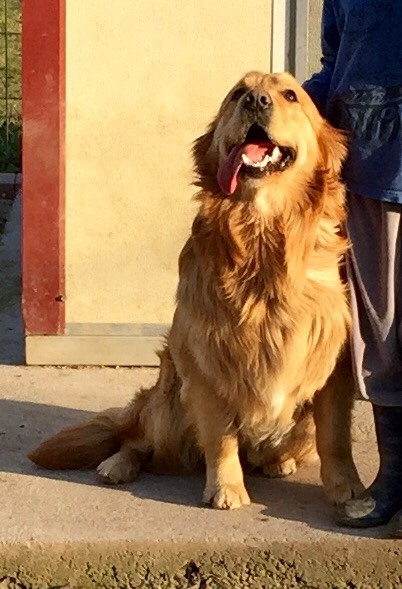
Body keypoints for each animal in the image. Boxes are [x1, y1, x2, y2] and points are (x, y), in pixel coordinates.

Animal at [29, 71, 364, 508]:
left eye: (291, 95)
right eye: (239, 93)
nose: (256, 100)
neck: (262, 236)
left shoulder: (331, 359)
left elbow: (336, 436)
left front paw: (347, 487)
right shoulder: (208, 360)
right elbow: (220, 436)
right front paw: (226, 487)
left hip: (298, 426)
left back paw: (278, 462)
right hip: (169, 407)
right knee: (137, 440)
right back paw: (117, 464)